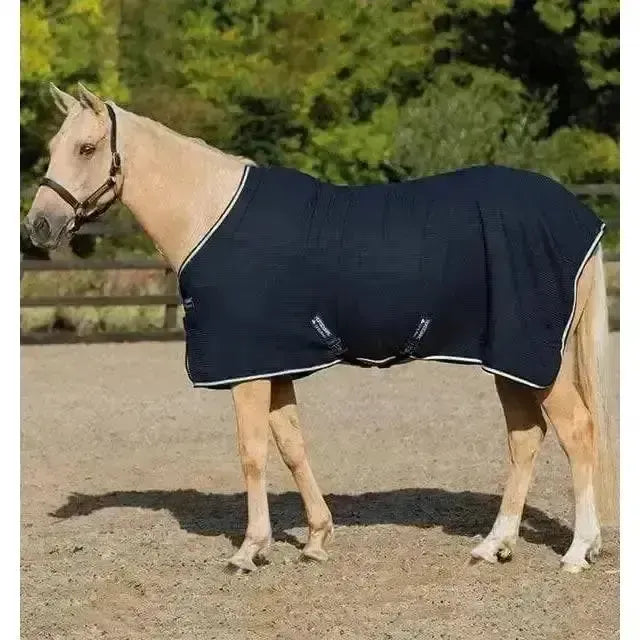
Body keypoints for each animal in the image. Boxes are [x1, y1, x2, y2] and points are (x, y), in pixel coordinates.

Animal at [23, 83, 618, 574]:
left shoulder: (247, 370)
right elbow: (291, 445)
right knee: (526, 439)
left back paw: (577, 551)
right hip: (509, 361)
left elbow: (252, 452)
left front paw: (249, 550)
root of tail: (579, 217)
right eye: (53, 145)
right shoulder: (277, 363)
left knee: (578, 432)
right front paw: (315, 539)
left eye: (86, 149)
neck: (210, 213)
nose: (40, 227)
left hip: (538, 360)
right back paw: (495, 545)